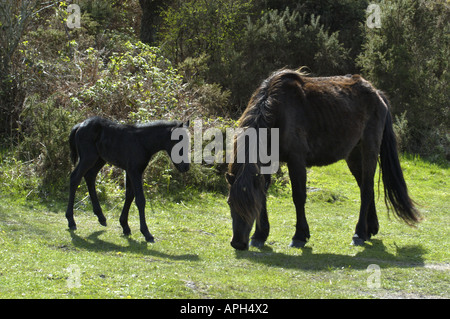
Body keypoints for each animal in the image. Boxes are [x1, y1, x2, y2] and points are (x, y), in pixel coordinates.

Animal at [227, 69, 420, 251]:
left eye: (249, 204)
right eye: (230, 202)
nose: (237, 243)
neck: (277, 112)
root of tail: (377, 94)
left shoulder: (296, 160)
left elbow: (298, 196)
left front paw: (299, 236)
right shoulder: (268, 162)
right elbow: (264, 193)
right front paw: (259, 235)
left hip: (369, 150)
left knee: (366, 190)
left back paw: (358, 233)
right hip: (354, 156)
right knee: (367, 187)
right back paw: (369, 229)